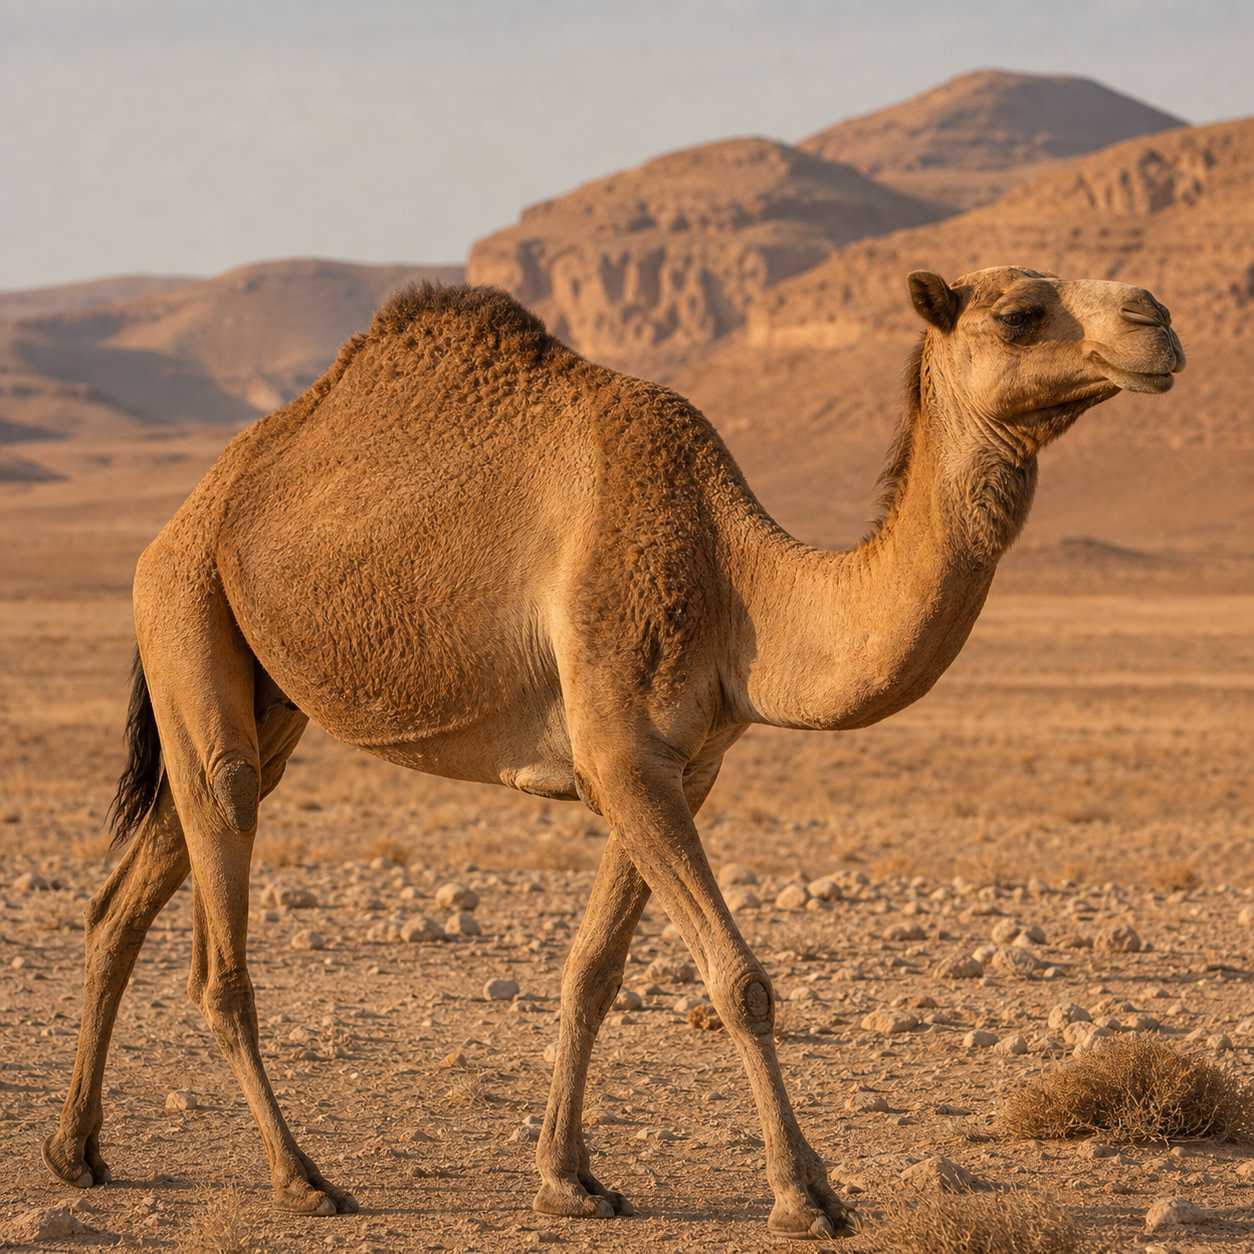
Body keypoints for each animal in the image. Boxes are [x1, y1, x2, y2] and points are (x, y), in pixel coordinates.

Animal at [44, 267, 1183, 1238]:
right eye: (1020, 313)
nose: (1157, 320)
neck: (738, 583)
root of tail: (181, 517)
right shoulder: (622, 752)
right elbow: (738, 979)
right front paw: (806, 1195)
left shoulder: (679, 766)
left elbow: (590, 971)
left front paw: (570, 1181)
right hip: (186, 607)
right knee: (219, 932)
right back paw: (302, 1178)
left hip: (258, 679)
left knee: (127, 893)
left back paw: (76, 1151)